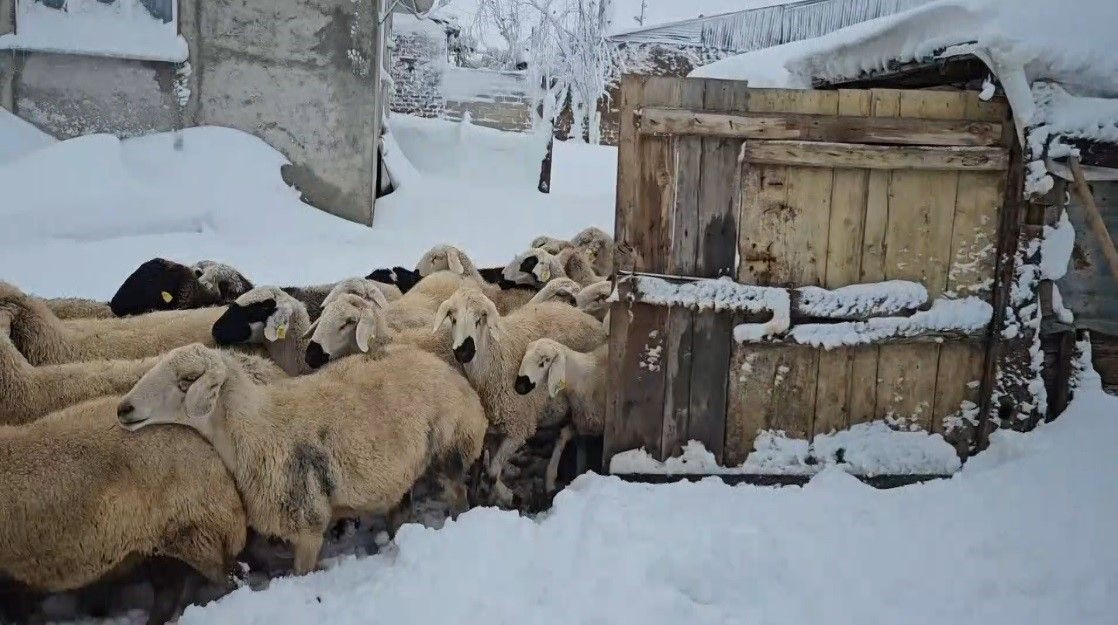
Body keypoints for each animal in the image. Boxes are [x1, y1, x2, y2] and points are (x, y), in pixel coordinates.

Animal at [115, 344, 487, 576]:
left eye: (186, 382)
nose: (124, 408)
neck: (255, 427)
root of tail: (453, 374)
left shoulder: (307, 521)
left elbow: (301, 572)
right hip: (400, 474)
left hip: (452, 448)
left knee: (457, 492)